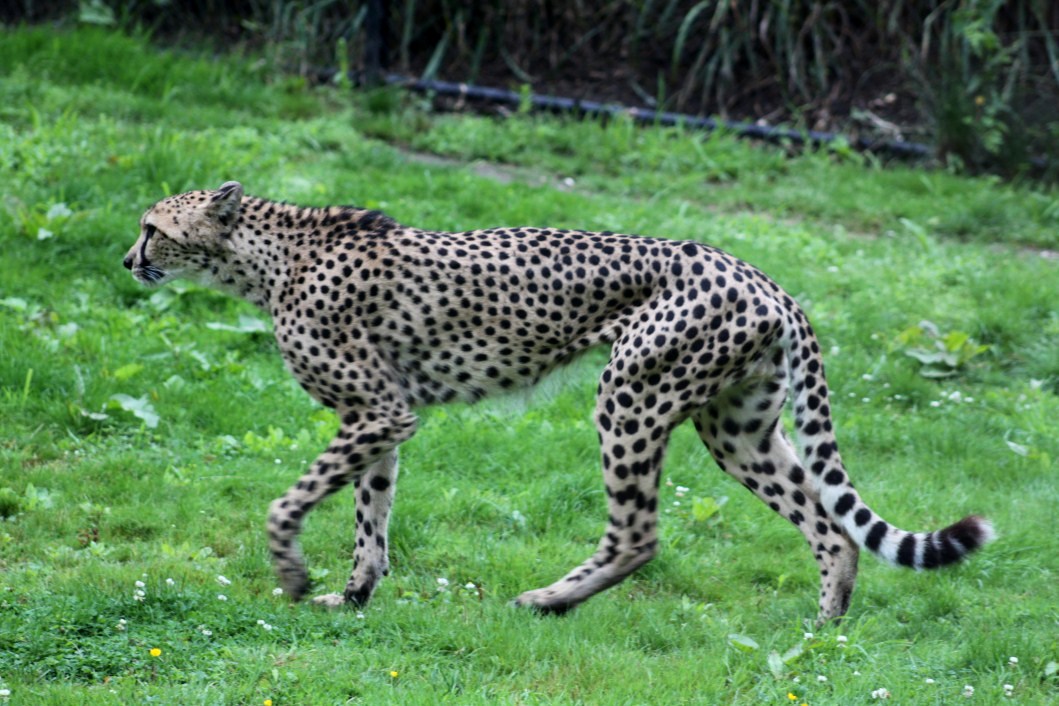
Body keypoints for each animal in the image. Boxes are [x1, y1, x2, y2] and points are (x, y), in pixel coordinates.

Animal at [123, 181, 994, 623]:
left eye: (152, 227)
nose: (128, 259)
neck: (268, 256)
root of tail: (759, 275)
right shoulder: (380, 417)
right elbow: (372, 513)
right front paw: (355, 595)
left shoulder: (379, 410)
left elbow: (289, 501)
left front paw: (294, 574)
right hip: (736, 428)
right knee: (828, 524)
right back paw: (824, 626)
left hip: (631, 394)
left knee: (639, 535)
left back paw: (549, 598)